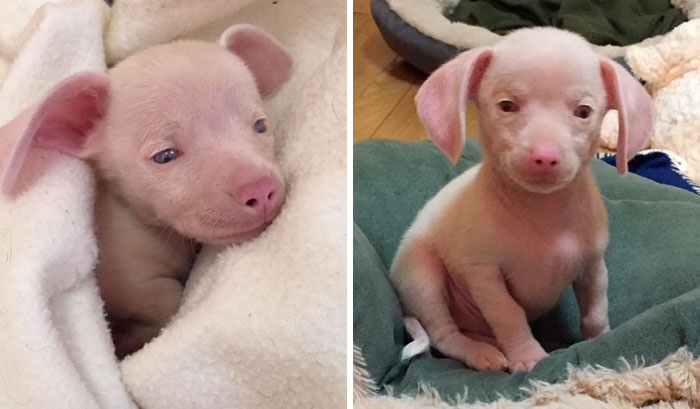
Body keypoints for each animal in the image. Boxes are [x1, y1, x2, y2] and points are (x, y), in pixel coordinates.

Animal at [0, 24, 293, 358]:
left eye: (259, 126)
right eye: (165, 155)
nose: (261, 190)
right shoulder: (125, 273)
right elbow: (168, 298)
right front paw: (127, 340)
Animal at [390, 27, 654, 372]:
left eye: (583, 112)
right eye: (506, 106)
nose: (545, 156)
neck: (542, 211)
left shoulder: (593, 265)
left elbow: (595, 312)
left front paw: (601, 340)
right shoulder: (485, 276)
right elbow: (509, 316)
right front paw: (528, 357)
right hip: (422, 277)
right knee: (443, 335)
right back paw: (480, 353)